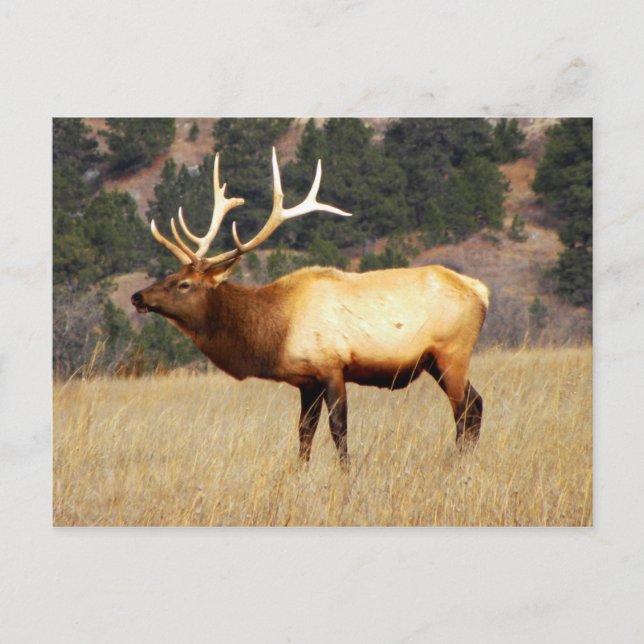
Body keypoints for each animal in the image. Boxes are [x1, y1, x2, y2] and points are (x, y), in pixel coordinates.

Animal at [131, 148, 489, 467]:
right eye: (170, 274)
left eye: (184, 283)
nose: (137, 297)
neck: (275, 332)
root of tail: (481, 291)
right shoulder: (307, 381)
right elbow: (304, 432)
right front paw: (300, 473)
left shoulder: (331, 367)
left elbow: (339, 429)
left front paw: (345, 472)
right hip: (434, 362)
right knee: (476, 403)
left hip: (452, 353)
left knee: (465, 408)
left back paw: (459, 462)